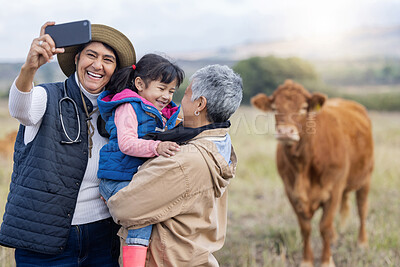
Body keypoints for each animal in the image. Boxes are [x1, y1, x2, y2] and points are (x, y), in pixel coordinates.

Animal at [252, 80, 374, 267]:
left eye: (303, 107)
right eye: (274, 108)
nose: (285, 132)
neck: (303, 166)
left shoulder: (334, 190)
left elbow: (324, 226)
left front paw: (326, 261)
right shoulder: (291, 192)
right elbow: (306, 228)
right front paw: (307, 260)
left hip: (366, 178)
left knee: (362, 209)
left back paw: (362, 242)